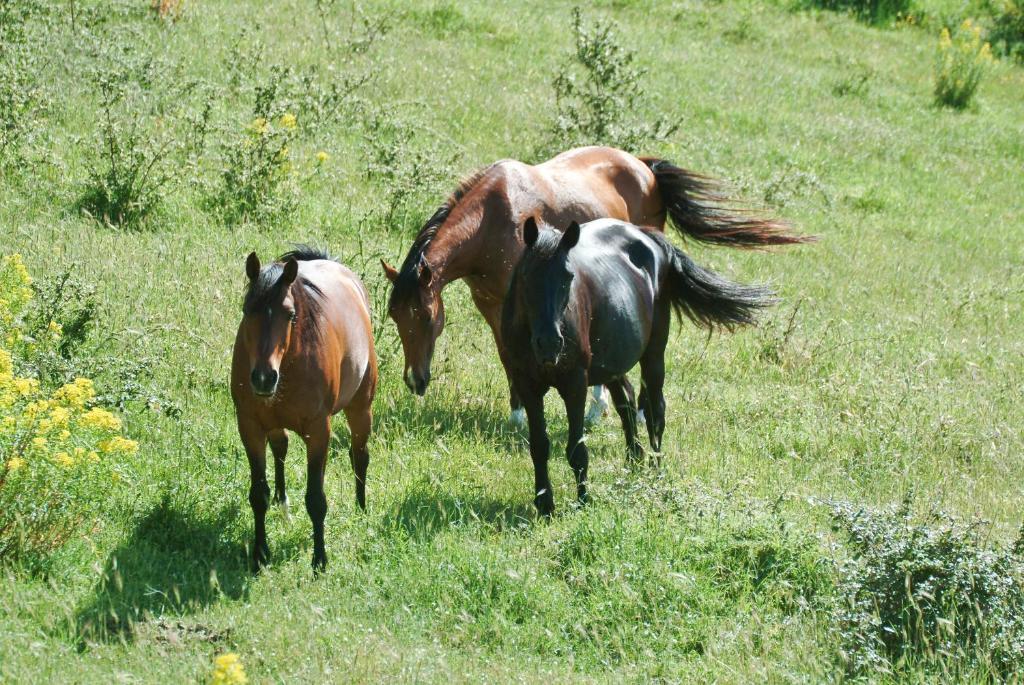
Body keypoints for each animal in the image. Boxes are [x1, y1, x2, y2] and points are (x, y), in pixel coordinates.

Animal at [231, 245, 376, 573]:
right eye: (247, 310)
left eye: (290, 314)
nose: (263, 377)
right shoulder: (251, 427)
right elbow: (258, 494)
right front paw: (260, 554)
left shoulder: (318, 430)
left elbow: (316, 499)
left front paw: (319, 559)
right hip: (275, 424)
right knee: (281, 449)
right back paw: (282, 502)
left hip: (361, 408)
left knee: (360, 456)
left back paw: (361, 510)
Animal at [382, 145, 806, 421]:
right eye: (395, 318)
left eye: (425, 317)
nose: (415, 380)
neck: (493, 218)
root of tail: (644, 167)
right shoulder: (490, 304)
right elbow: (505, 355)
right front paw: (517, 416)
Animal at [499, 218, 770, 511]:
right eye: (527, 276)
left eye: (568, 278)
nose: (549, 343)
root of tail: (646, 236)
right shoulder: (527, 385)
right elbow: (539, 446)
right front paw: (545, 505)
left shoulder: (575, 384)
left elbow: (577, 448)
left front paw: (583, 501)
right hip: (613, 363)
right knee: (626, 403)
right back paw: (633, 463)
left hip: (653, 354)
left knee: (655, 411)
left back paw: (655, 469)